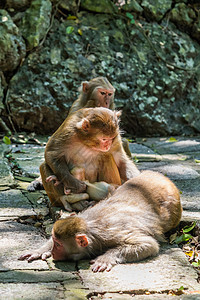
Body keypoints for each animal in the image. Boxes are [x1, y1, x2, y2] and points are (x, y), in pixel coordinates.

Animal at [19, 169, 183, 272]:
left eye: (58, 245)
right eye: (54, 241)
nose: (53, 252)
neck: (92, 231)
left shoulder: (111, 236)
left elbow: (149, 245)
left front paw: (105, 258)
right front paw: (40, 250)